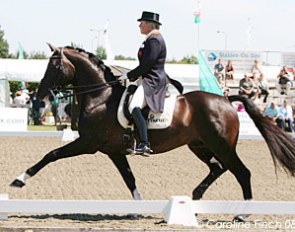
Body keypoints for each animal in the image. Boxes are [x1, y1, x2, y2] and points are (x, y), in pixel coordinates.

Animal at [11, 44, 295, 220]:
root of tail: (226, 99)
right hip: (200, 146)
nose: (41, 93)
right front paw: (138, 207)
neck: (100, 96)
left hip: (222, 145)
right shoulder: (113, 151)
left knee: (241, 172)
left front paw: (19, 180)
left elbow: (52, 154)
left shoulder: (88, 143)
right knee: (218, 168)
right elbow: (129, 179)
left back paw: (242, 213)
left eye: (54, 66)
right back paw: (194, 200)